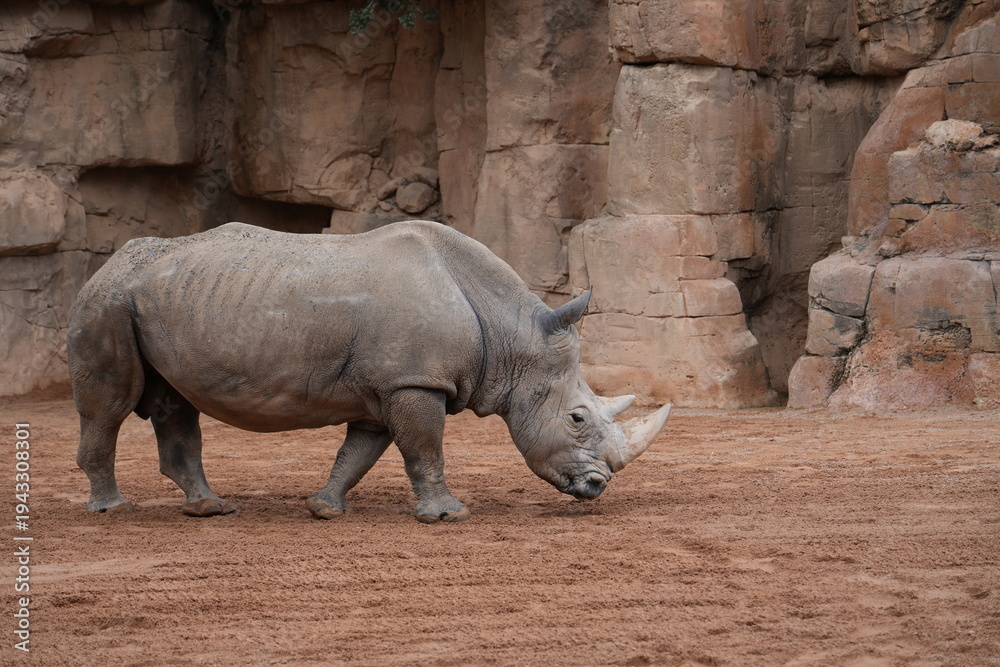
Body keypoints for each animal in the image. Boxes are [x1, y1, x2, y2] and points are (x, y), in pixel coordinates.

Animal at [68, 221, 671, 522]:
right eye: (577, 418)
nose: (596, 486)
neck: (513, 334)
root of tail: (110, 261)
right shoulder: (414, 379)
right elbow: (425, 449)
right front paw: (448, 516)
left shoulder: (389, 383)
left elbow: (359, 452)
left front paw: (324, 509)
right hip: (106, 303)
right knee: (111, 406)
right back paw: (111, 510)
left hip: (155, 300)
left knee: (174, 402)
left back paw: (209, 509)